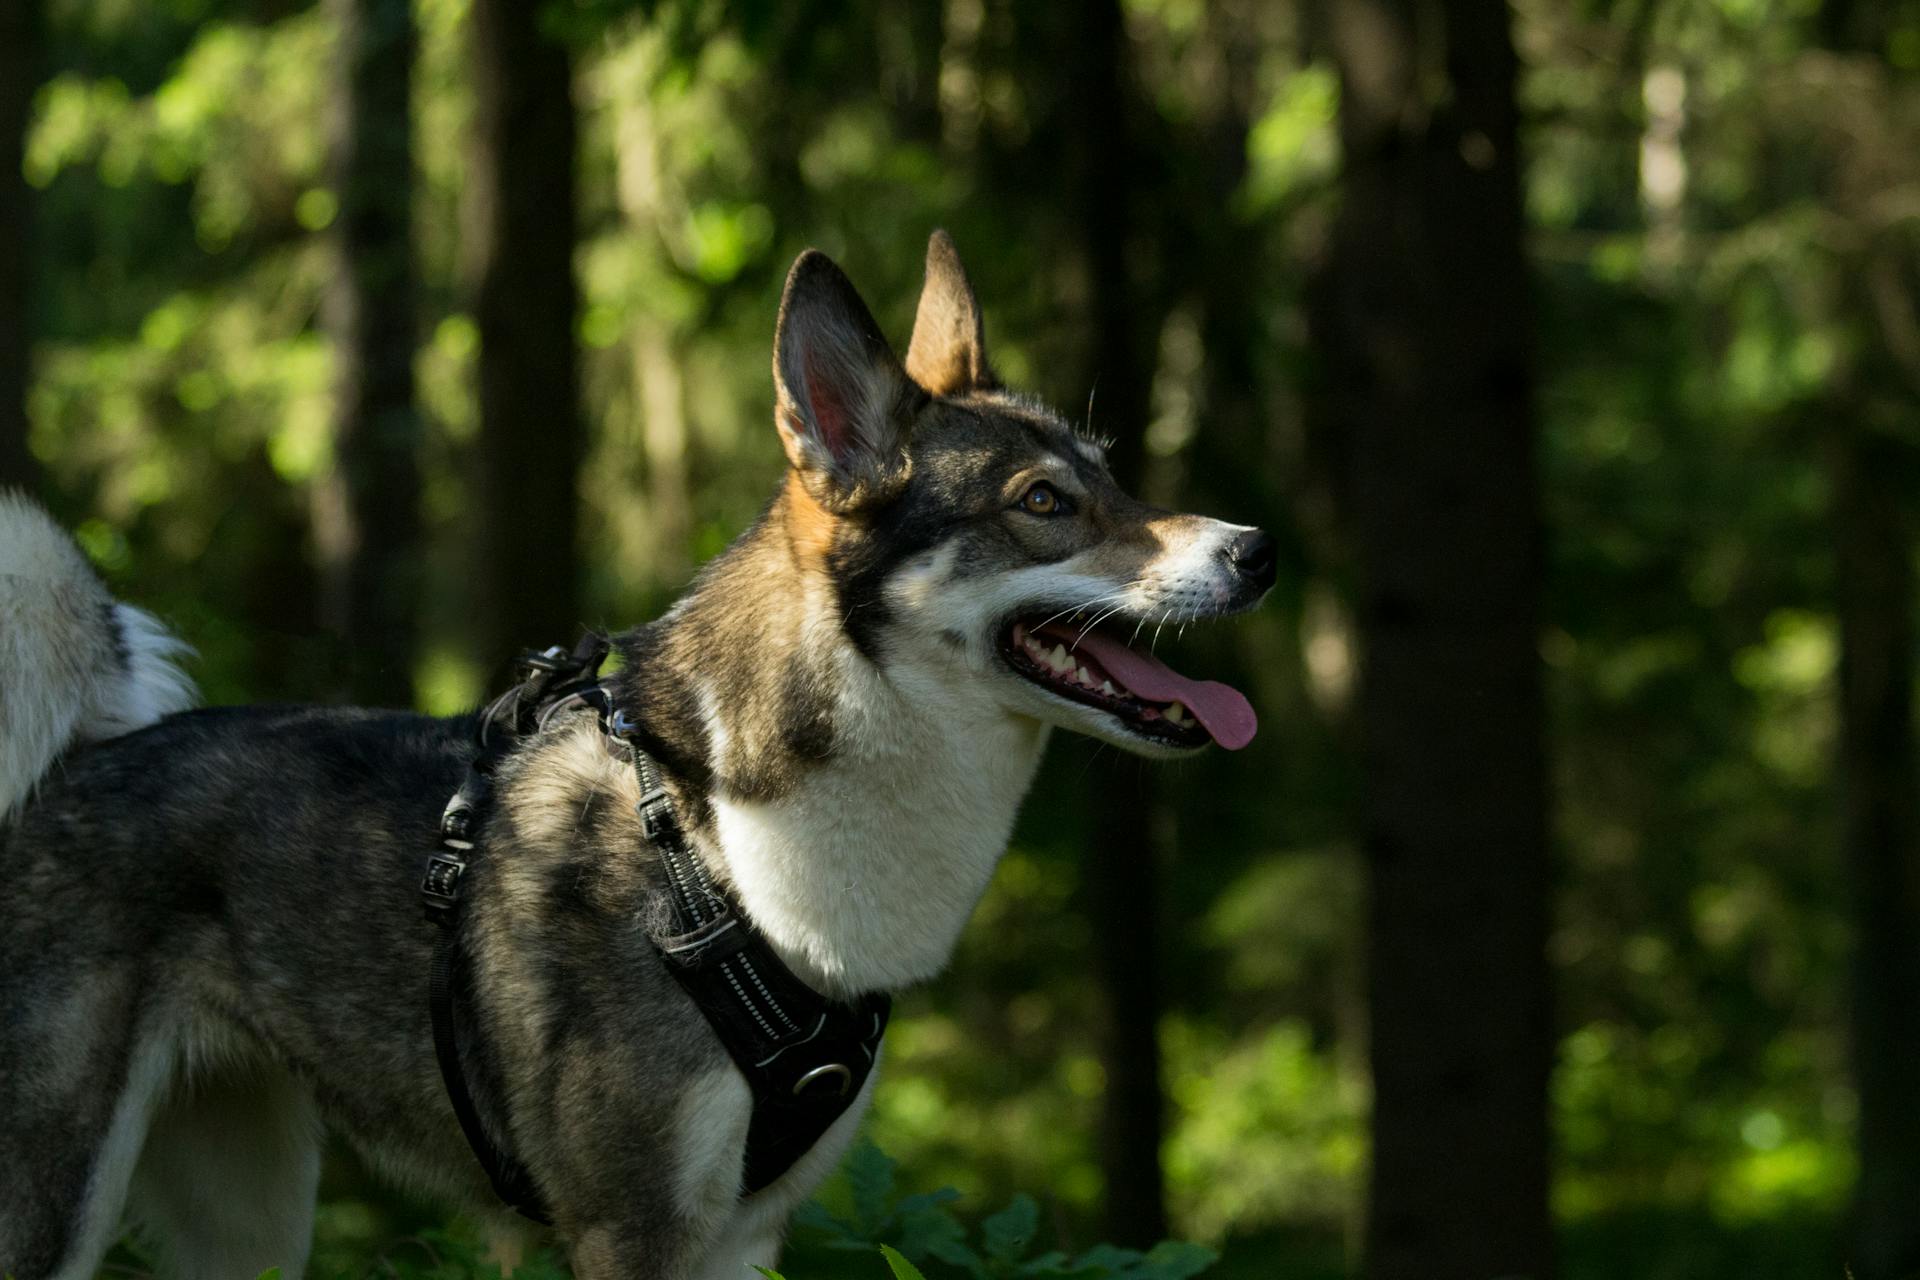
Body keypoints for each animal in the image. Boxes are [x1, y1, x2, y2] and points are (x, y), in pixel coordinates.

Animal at [0, 233, 1274, 1280]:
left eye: (1113, 475)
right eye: (1045, 502)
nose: (1259, 549)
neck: (720, 836)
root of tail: (64, 764)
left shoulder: (744, 1236)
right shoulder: (632, 1229)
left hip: (251, 1211)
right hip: (57, 1203)